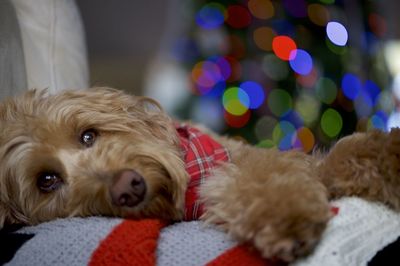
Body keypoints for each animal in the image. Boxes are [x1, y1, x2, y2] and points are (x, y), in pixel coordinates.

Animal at [0, 88, 398, 262]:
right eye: (47, 181)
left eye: (88, 135)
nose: (128, 187)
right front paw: (287, 219)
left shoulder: (256, 159)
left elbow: (340, 155)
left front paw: (388, 156)